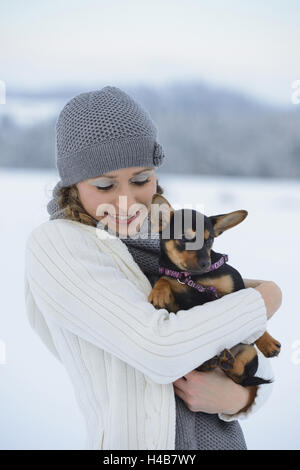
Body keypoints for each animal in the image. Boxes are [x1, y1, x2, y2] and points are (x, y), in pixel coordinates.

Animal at [146, 194, 280, 386]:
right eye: (184, 238)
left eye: (210, 240)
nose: (206, 263)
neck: (195, 278)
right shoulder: (178, 305)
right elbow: (164, 278)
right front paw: (159, 292)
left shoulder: (237, 288)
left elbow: (254, 319)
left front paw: (268, 342)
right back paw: (211, 362)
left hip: (249, 351)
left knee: (238, 375)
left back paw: (226, 360)